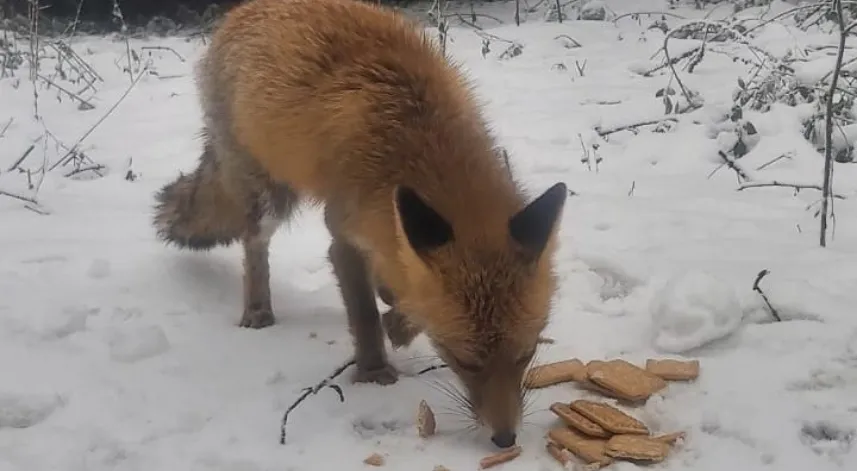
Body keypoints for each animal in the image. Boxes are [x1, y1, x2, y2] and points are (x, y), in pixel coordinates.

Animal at [152, 0, 568, 450]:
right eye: (465, 361)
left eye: (526, 354)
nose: (505, 439)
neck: (413, 141)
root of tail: (241, 10)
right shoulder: (344, 234)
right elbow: (365, 313)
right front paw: (373, 370)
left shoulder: (397, 231)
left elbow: (405, 292)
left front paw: (398, 321)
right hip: (268, 199)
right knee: (253, 245)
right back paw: (258, 309)